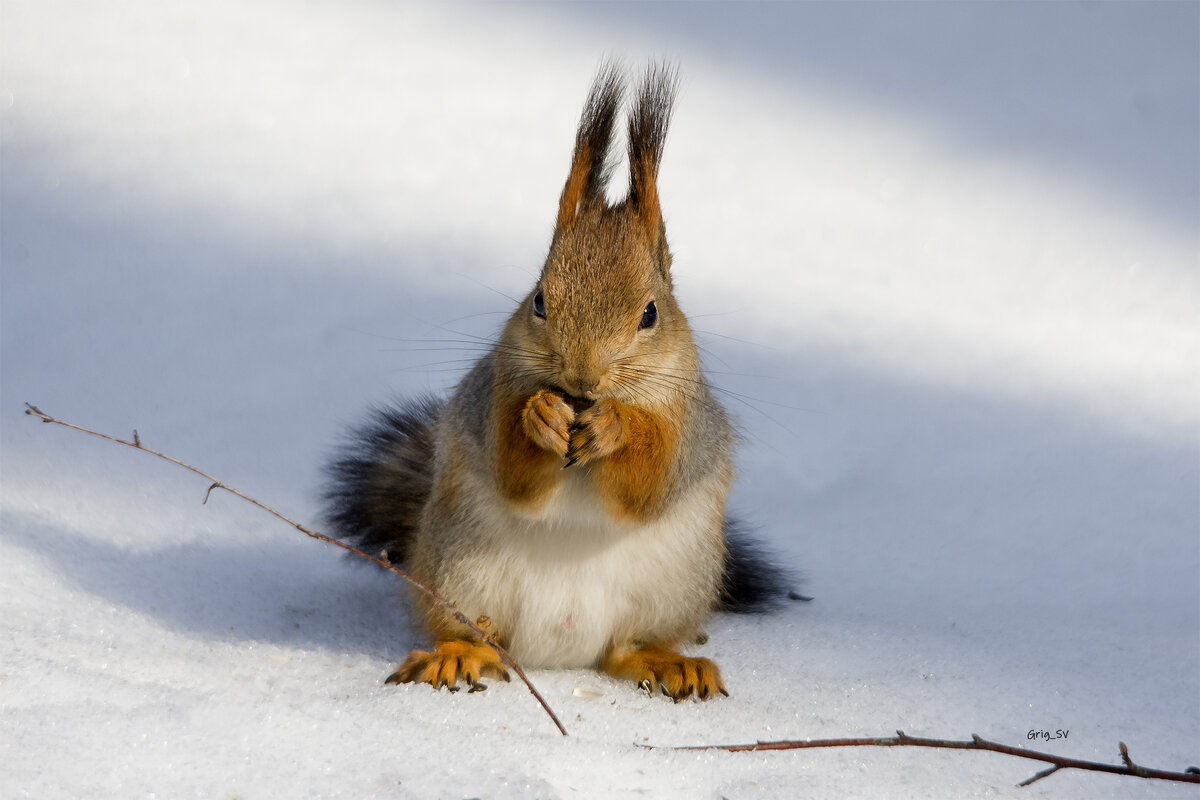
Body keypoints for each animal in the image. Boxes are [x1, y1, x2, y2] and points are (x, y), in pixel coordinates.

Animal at [324, 62, 792, 700]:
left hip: (672, 586)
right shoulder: (493, 392)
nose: (580, 377)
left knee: (626, 648)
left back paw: (668, 663)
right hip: (462, 565)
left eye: (651, 314)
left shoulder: (688, 424)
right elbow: (515, 475)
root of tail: (558, 652)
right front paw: (540, 416)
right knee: (477, 631)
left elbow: (648, 484)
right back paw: (457, 655)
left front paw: (617, 426)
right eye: (539, 301)